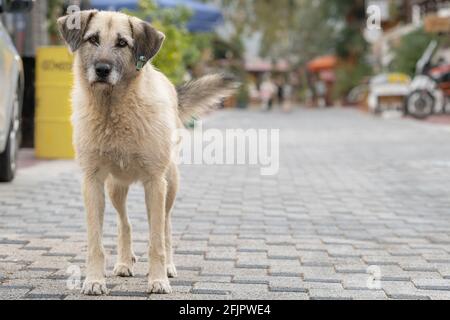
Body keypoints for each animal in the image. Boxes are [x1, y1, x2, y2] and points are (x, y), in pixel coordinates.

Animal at [57, 9, 236, 296]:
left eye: (122, 43)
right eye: (92, 39)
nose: (102, 70)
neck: (113, 110)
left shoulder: (154, 183)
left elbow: (156, 241)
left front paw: (158, 279)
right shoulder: (92, 181)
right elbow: (96, 242)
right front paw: (94, 279)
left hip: (170, 185)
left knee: (165, 226)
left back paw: (169, 266)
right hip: (115, 188)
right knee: (125, 223)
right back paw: (123, 262)